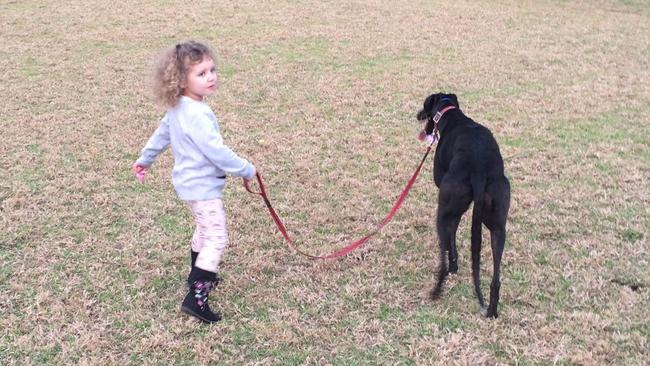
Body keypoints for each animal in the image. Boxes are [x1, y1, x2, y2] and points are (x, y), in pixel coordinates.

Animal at [416, 92, 512, 318]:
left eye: (425, 104)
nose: (417, 115)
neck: (452, 115)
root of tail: (479, 170)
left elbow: (450, 238)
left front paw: (454, 264)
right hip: (497, 223)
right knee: (496, 279)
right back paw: (492, 311)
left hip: (443, 210)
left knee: (442, 259)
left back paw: (436, 290)